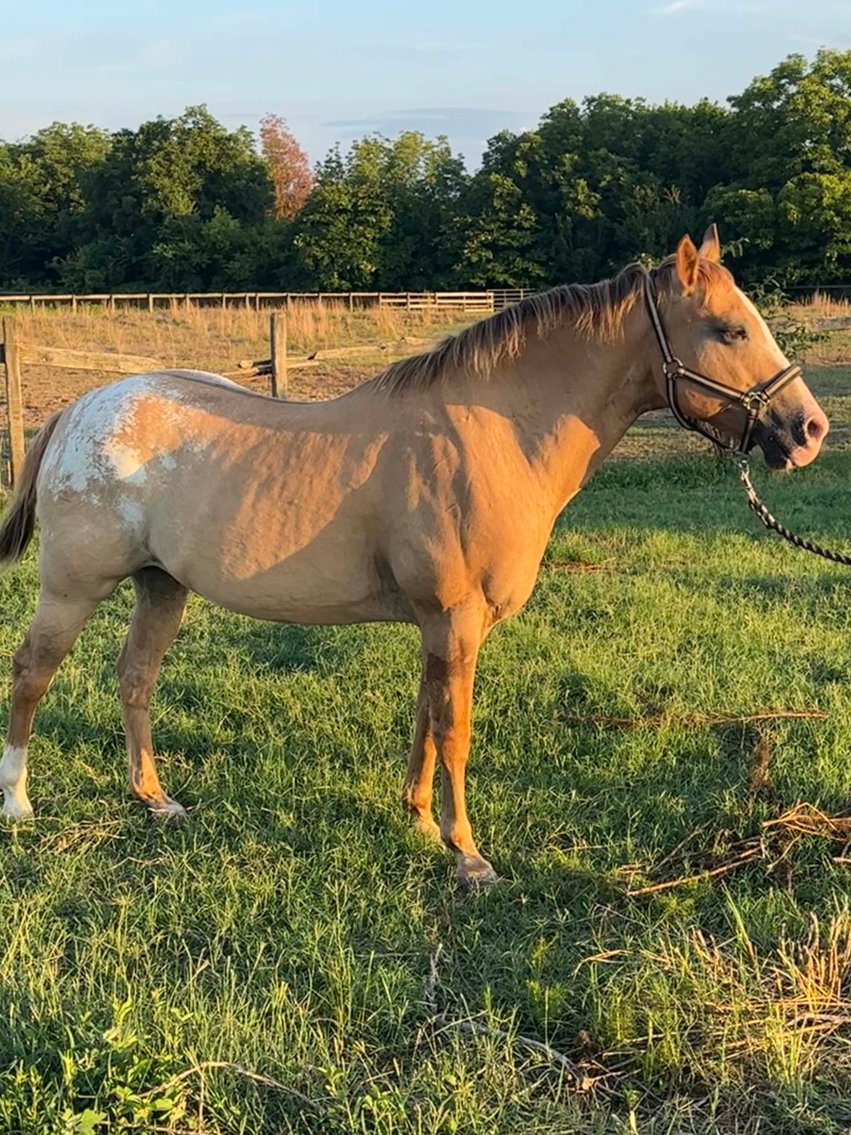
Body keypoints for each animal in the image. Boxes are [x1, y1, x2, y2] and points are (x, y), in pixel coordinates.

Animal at [0, 228, 829, 888]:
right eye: (727, 329)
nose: (808, 429)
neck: (492, 433)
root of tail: (74, 411)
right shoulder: (454, 619)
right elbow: (454, 728)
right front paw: (468, 854)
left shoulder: (444, 624)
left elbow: (426, 717)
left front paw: (420, 820)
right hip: (73, 588)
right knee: (32, 673)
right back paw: (18, 800)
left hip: (160, 585)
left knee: (134, 677)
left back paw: (155, 798)